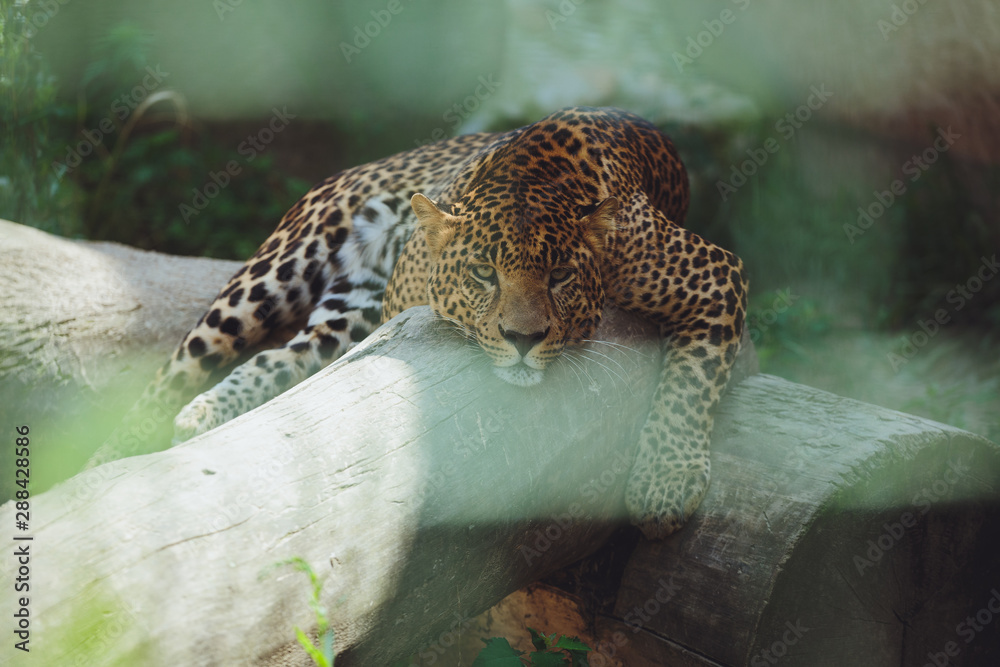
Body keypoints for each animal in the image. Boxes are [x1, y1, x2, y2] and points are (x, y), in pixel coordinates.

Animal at [87, 106, 747, 540]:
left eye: (561, 276)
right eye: (484, 273)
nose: (524, 339)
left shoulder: (717, 275)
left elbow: (693, 384)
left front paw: (664, 482)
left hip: (344, 318)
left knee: (279, 360)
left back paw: (203, 417)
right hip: (272, 274)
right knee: (175, 372)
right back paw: (110, 468)